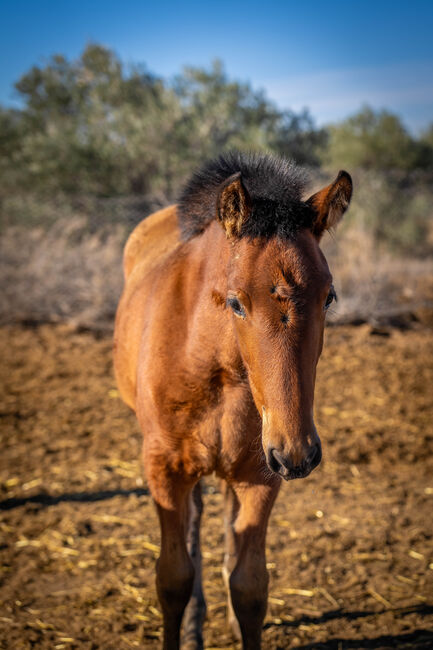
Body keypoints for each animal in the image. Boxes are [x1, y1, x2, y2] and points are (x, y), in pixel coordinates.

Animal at [114, 152, 352, 648]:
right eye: (236, 302)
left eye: (329, 297)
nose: (299, 453)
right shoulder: (163, 467)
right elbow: (172, 577)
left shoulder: (259, 473)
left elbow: (250, 587)